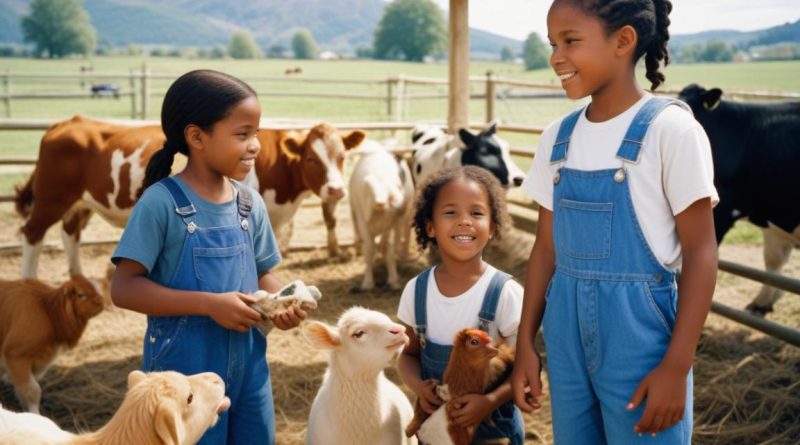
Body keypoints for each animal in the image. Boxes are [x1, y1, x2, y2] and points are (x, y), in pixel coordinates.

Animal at [0, 274, 104, 412]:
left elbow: (21, 391)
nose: (101, 303)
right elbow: (32, 391)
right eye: (81, 295)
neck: (46, 311)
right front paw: (35, 414)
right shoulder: (15, 355)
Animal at [14, 114, 364, 278]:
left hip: (81, 202)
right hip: (51, 198)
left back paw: (79, 279)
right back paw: (30, 284)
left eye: (342, 155)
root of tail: (67, 123)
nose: (336, 189)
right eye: (311, 159)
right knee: (33, 234)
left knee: (70, 233)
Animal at [348, 140, 412, 290]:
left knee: (402, 239)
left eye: (395, 186)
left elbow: (389, 249)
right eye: (371, 189)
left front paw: (393, 280)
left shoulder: (393, 224)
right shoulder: (362, 221)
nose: (380, 202)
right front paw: (368, 283)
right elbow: (368, 249)